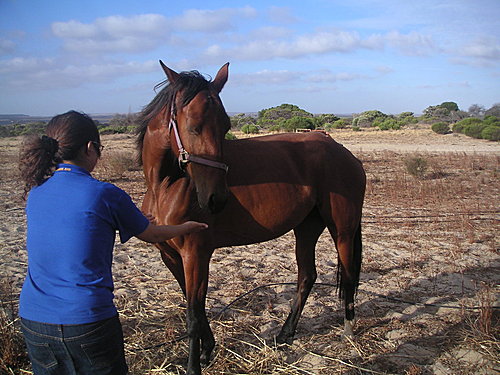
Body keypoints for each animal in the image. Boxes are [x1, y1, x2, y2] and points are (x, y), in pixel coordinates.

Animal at [137, 62, 368, 375]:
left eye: (225, 126)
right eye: (193, 126)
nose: (216, 199)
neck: (165, 186)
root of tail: (344, 153)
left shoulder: (196, 255)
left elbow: (194, 315)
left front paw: (195, 365)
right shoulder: (171, 256)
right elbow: (193, 305)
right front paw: (208, 350)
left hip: (342, 230)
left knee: (349, 275)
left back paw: (348, 332)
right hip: (306, 228)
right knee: (307, 276)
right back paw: (285, 334)